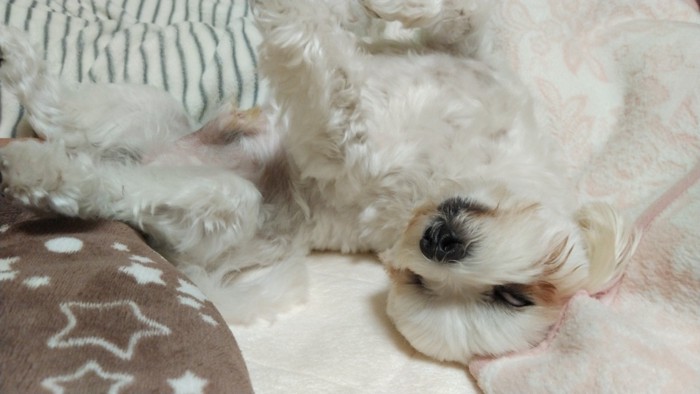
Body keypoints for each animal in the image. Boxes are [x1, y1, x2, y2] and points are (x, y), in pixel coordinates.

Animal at [0, 0, 640, 364]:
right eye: (517, 295)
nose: (440, 242)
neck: (464, 166)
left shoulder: (340, 139)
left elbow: (327, 70)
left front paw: (295, 14)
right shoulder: (475, 59)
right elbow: (463, 16)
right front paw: (378, 9)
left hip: (218, 204)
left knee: (107, 181)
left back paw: (33, 169)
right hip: (144, 109)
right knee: (56, 107)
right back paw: (17, 56)